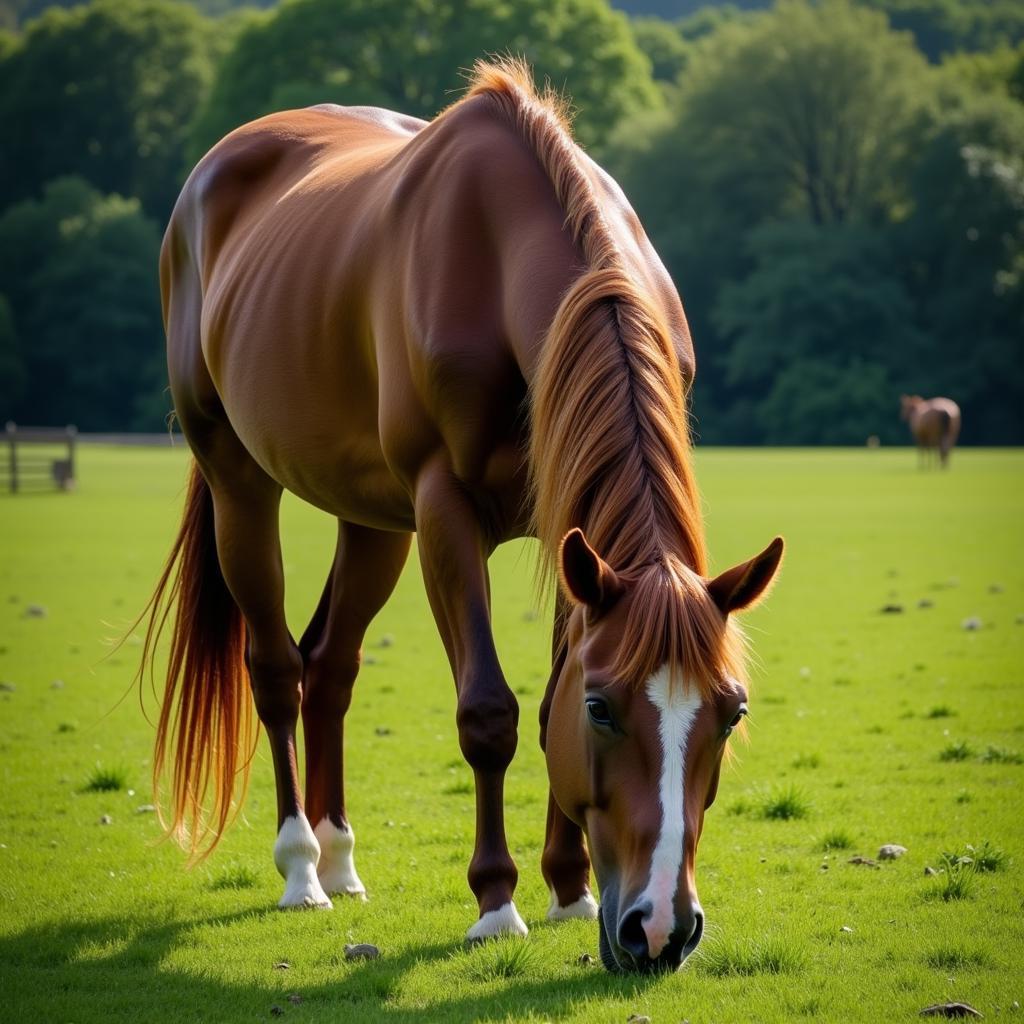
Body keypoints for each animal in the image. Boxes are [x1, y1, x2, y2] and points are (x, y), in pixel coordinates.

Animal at [142, 59, 782, 970]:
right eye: (603, 709)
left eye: (732, 713)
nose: (660, 928)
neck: (503, 253)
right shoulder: (445, 510)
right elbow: (490, 713)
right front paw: (496, 902)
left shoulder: (570, 534)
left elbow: (545, 699)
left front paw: (569, 889)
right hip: (240, 483)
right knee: (275, 669)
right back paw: (301, 868)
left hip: (373, 519)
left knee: (329, 667)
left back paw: (340, 861)